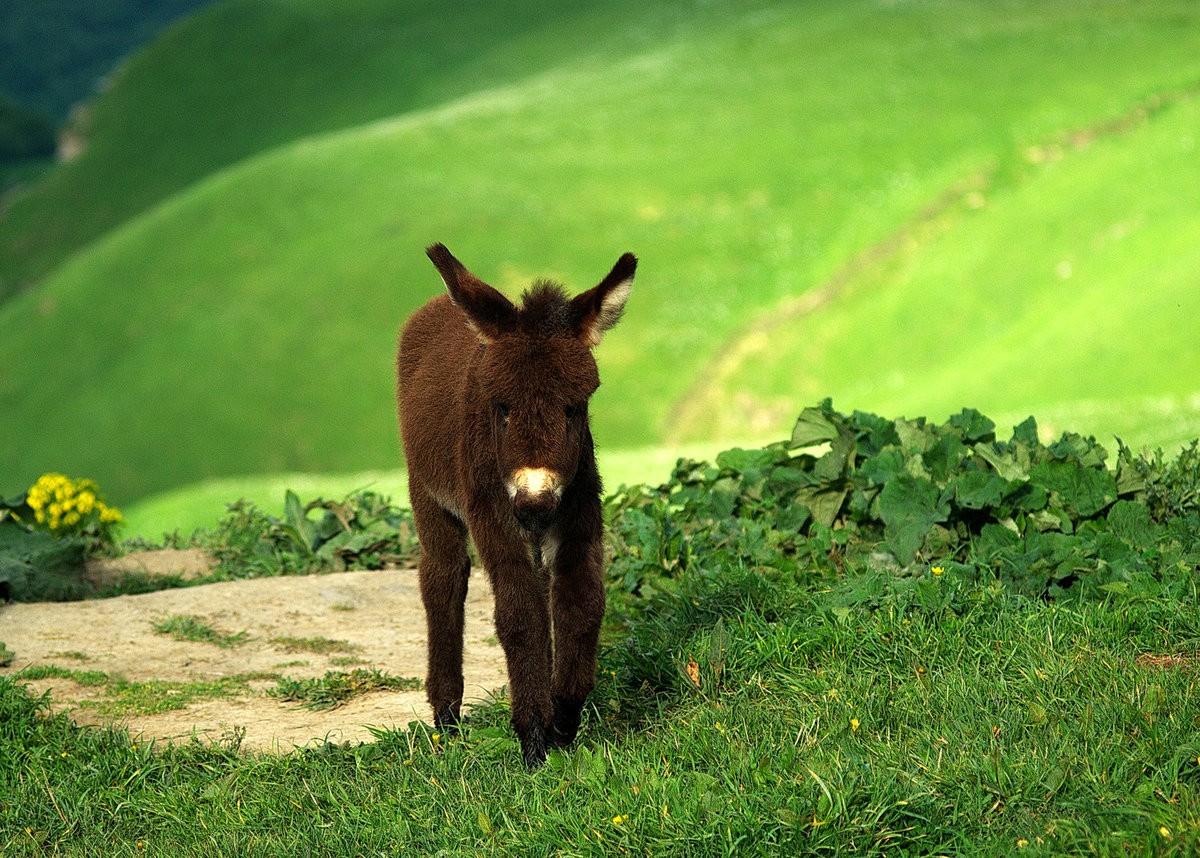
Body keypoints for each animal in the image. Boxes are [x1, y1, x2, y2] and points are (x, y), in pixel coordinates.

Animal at [396, 244, 638, 768]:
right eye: (502, 407)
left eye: (574, 407)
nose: (533, 506)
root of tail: (439, 304)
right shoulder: (493, 514)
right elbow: (520, 618)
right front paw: (532, 742)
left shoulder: (579, 512)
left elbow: (580, 607)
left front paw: (563, 721)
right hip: (427, 493)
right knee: (443, 578)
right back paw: (446, 718)